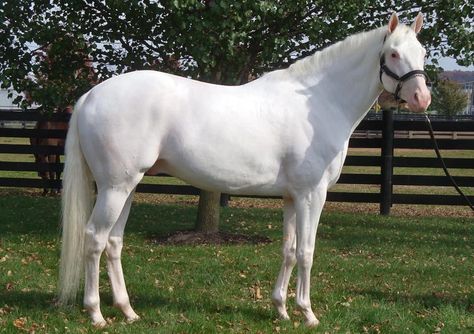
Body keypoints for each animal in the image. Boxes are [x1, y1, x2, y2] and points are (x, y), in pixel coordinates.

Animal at [58, 13, 430, 328]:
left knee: (113, 242)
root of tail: (89, 96)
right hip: (114, 188)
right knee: (94, 238)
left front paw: (281, 309)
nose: (422, 99)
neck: (321, 104)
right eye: (393, 54)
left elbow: (288, 251)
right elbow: (306, 252)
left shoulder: (292, 198)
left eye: (422, 53)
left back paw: (128, 311)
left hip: (128, 187)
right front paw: (307, 313)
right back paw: (96, 314)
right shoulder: (312, 195)